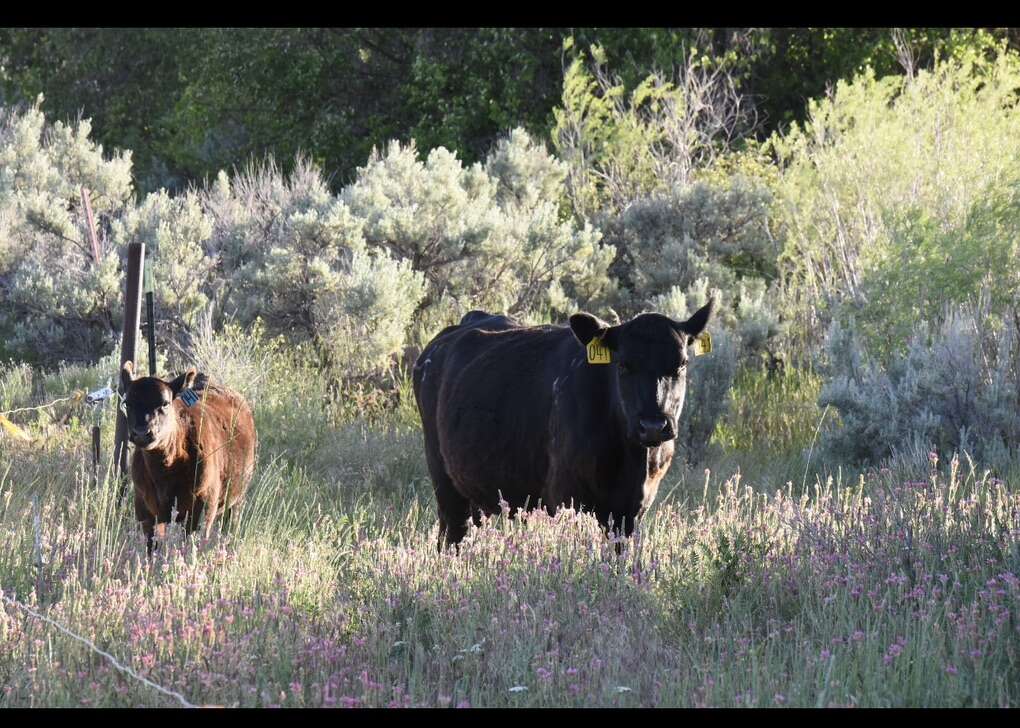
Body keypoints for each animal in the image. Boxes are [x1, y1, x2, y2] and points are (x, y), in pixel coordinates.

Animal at [119, 362, 258, 553]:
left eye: (165, 403)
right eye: (127, 403)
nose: (141, 433)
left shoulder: (202, 511)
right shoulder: (145, 511)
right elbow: (151, 548)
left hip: (237, 498)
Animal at [413, 300, 716, 550]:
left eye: (682, 365)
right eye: (623, 365)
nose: (653, 426)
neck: (631, 458)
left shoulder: (629, 511)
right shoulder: (567, 497)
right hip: (444, 482)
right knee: (451, 536)